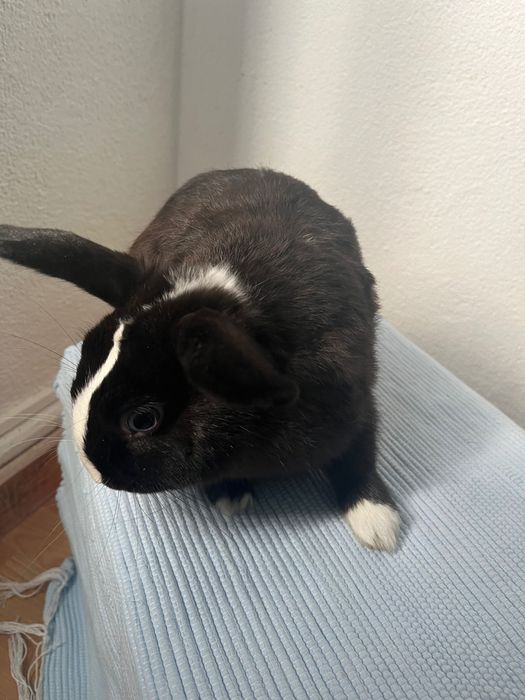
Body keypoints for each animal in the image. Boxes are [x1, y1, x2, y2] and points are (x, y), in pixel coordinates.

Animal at [0, 168, 400, 551]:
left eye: (142, 420)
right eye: (83, 360)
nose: (92, 469)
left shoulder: (358, 399)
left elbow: (360, 451)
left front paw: (378, 524)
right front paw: (230, 495)